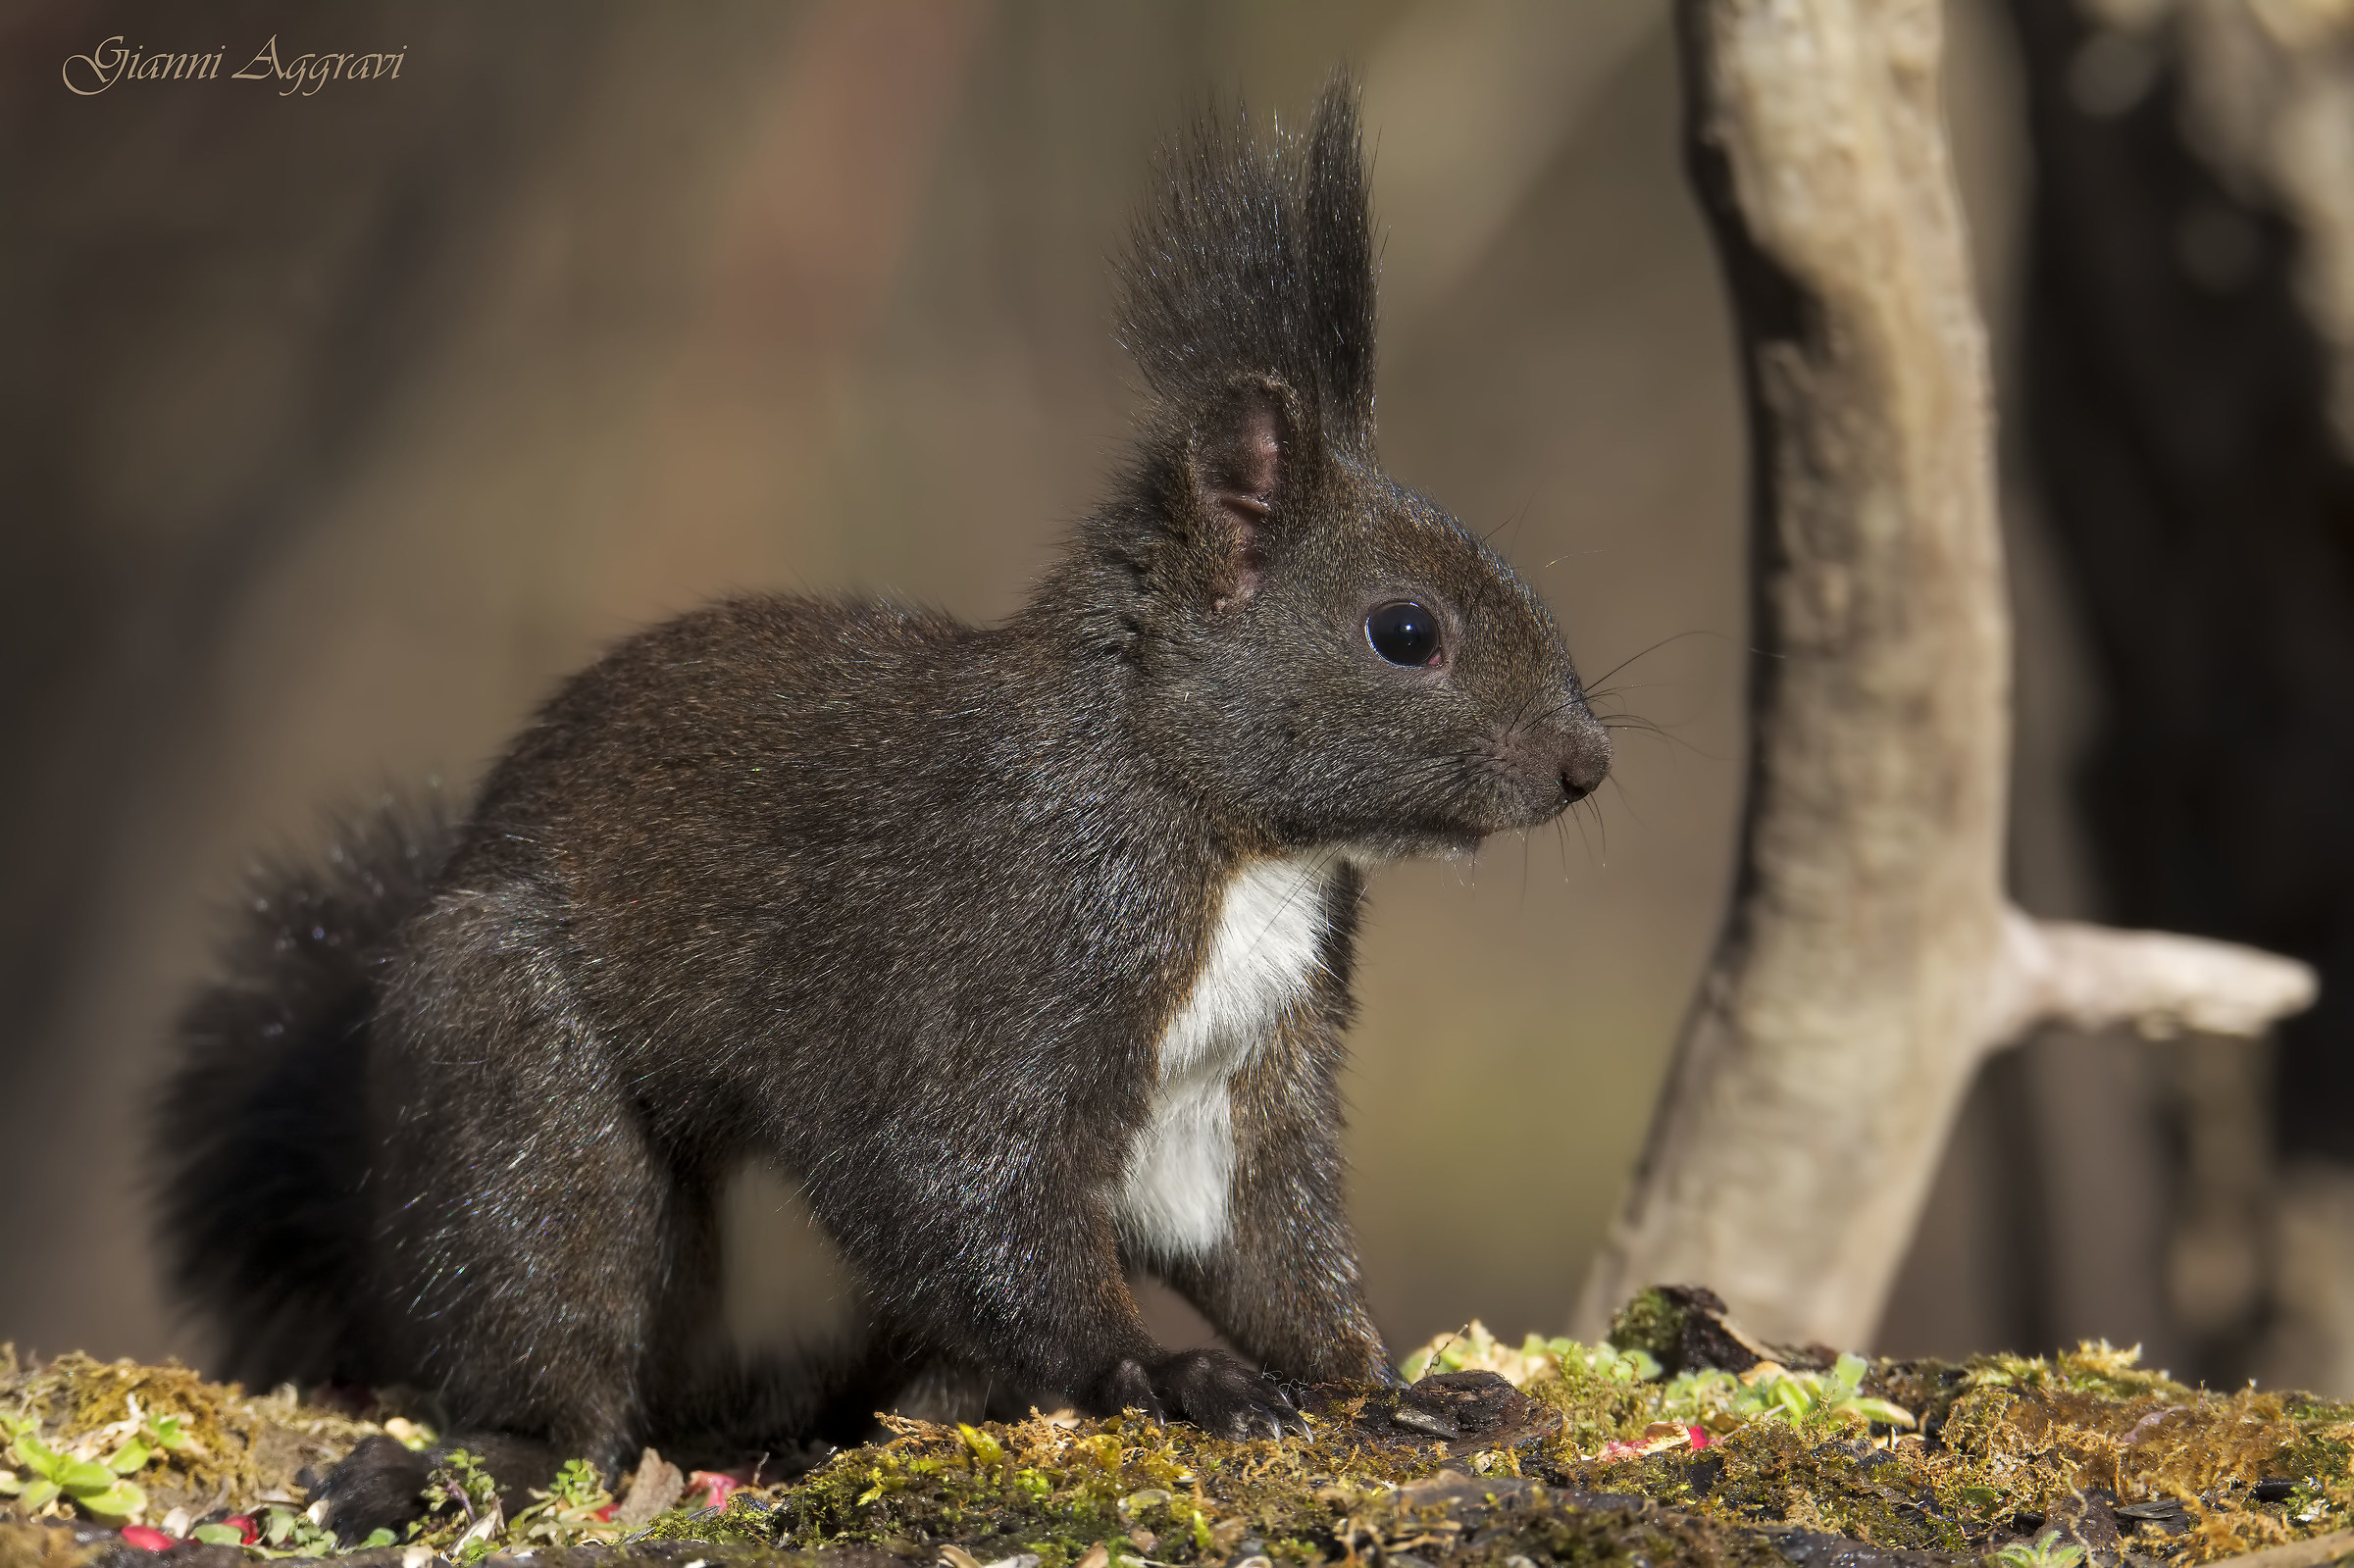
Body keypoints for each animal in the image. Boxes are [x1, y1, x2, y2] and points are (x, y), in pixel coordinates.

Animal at [152, 78, 1610, 1537]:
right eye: (1405, 632)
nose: (1585, 764)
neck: (1234, 839)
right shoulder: (1002, 946)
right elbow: (955, 1178)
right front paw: (1163, 1371)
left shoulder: (1249, 1056)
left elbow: (1259, 1241)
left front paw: (1386, 1387)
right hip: (513, 1085)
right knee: (551, 1312)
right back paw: (494, 1456)